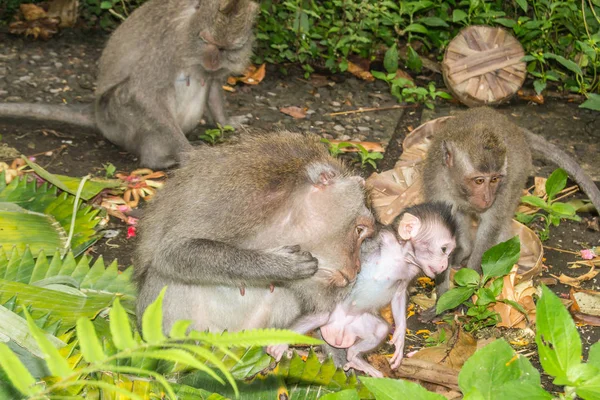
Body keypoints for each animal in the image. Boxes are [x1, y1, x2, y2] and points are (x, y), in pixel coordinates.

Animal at [268, 203, 454, 378]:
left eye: (449, 252)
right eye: (444, 249)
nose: (445, 265)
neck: (400, 255)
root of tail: (339, 329)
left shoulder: (412, 270)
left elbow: (400, 294)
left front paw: (400, 337)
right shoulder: (379, 240)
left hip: (358, 323)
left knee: (380, 329)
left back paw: (355, 357)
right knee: (320, 315)